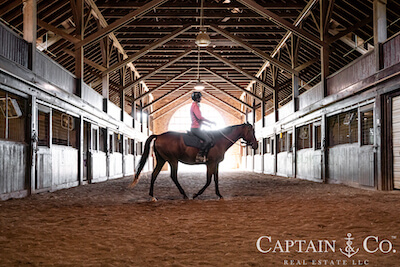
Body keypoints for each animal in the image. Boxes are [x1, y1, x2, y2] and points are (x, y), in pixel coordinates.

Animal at [130, 123, 258, 201]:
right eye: (251, 132)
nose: (256, 145)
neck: (219, 141)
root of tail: (159, 136)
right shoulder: (210, 163)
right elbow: (208, 180)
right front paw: (196, 194)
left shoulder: (215, 164)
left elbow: (216, 179)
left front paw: (219, 195)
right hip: (172, 160)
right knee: (173, 176)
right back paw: (184, 195)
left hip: (162, 160)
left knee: (154, 174)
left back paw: (152, 196)